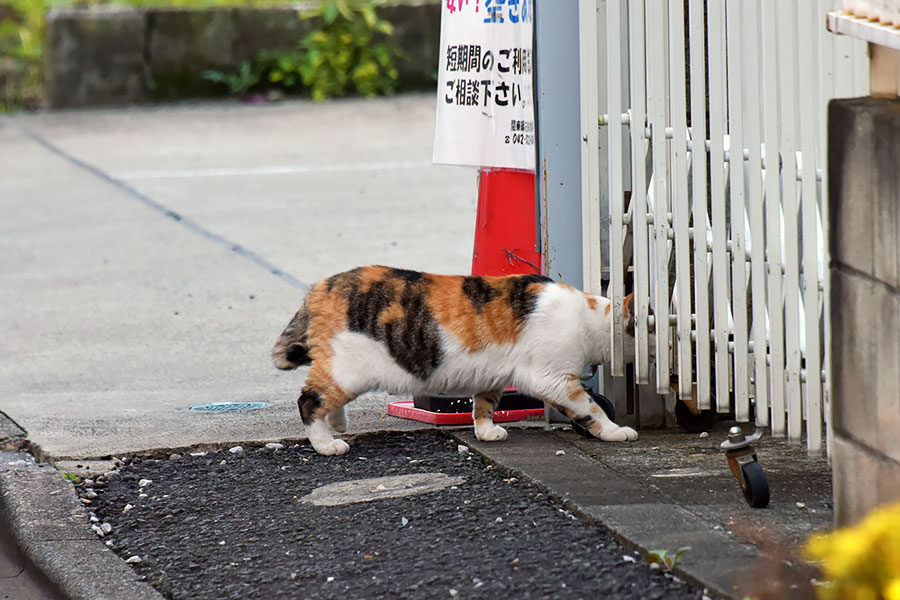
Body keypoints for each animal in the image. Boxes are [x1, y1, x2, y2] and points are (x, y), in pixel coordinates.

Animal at [272, 264, 640, 458]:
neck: (590, 318)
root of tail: (320, 287)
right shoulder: (554, 379)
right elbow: (590, 407)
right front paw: (614, 430)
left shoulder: (492, 375)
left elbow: (485, 403)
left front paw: (486, 431)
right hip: (349, 370)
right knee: (308, 400)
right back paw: (326, 444)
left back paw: (337, 424)